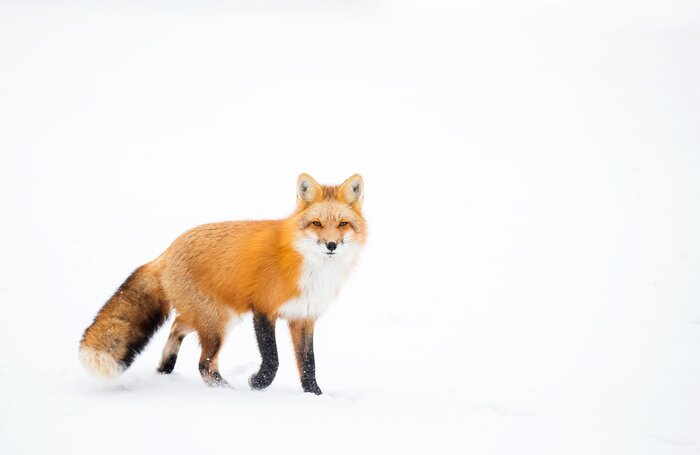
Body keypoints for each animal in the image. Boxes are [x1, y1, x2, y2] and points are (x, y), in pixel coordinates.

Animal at [79, 173, 365, 394]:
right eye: (317, 223)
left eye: (343, 224)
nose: (331, 245)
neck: (307, 265)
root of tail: (166, 252)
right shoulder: (263, 309)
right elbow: (272, 359)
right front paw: (258, 383)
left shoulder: (303, 317)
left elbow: (308, 364)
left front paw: (315, 395)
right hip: (219, 322)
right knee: (204, 364)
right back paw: (228, 392)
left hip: (214, 317)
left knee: (177, 324)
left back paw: (165, 368)